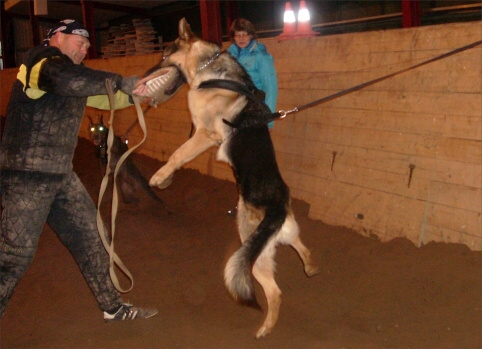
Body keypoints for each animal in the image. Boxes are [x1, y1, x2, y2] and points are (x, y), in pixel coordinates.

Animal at [147, 18, 320, 338]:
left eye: (164, 55)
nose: (145, 74)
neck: (209, 70)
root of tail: (277, 208)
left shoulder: (205, 134)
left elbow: (177, 154)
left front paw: (160, 176)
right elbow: (180, 154)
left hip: (251, 249)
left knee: (275, 292)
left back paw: (265, 329)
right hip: (282, 234)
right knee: (301, 245)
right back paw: (311, 267)